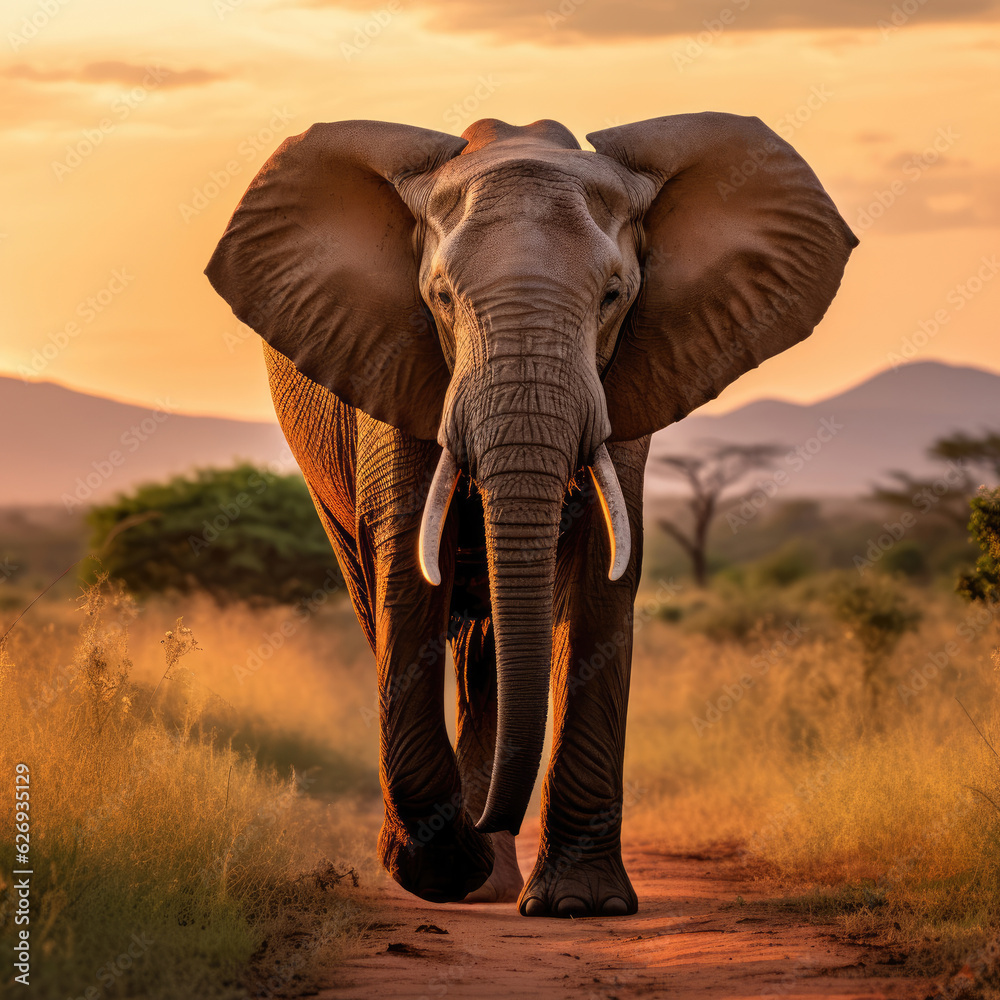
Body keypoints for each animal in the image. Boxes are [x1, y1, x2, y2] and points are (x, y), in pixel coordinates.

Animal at [205, 113, 857, 917]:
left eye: (613, 296)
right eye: (440, 296)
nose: (481, 826)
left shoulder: (628, 379)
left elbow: (602, 576)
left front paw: (579, 904)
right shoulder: (391, 362)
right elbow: (406, 575)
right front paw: (440, 870)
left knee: (487, 648)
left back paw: (497, 878)